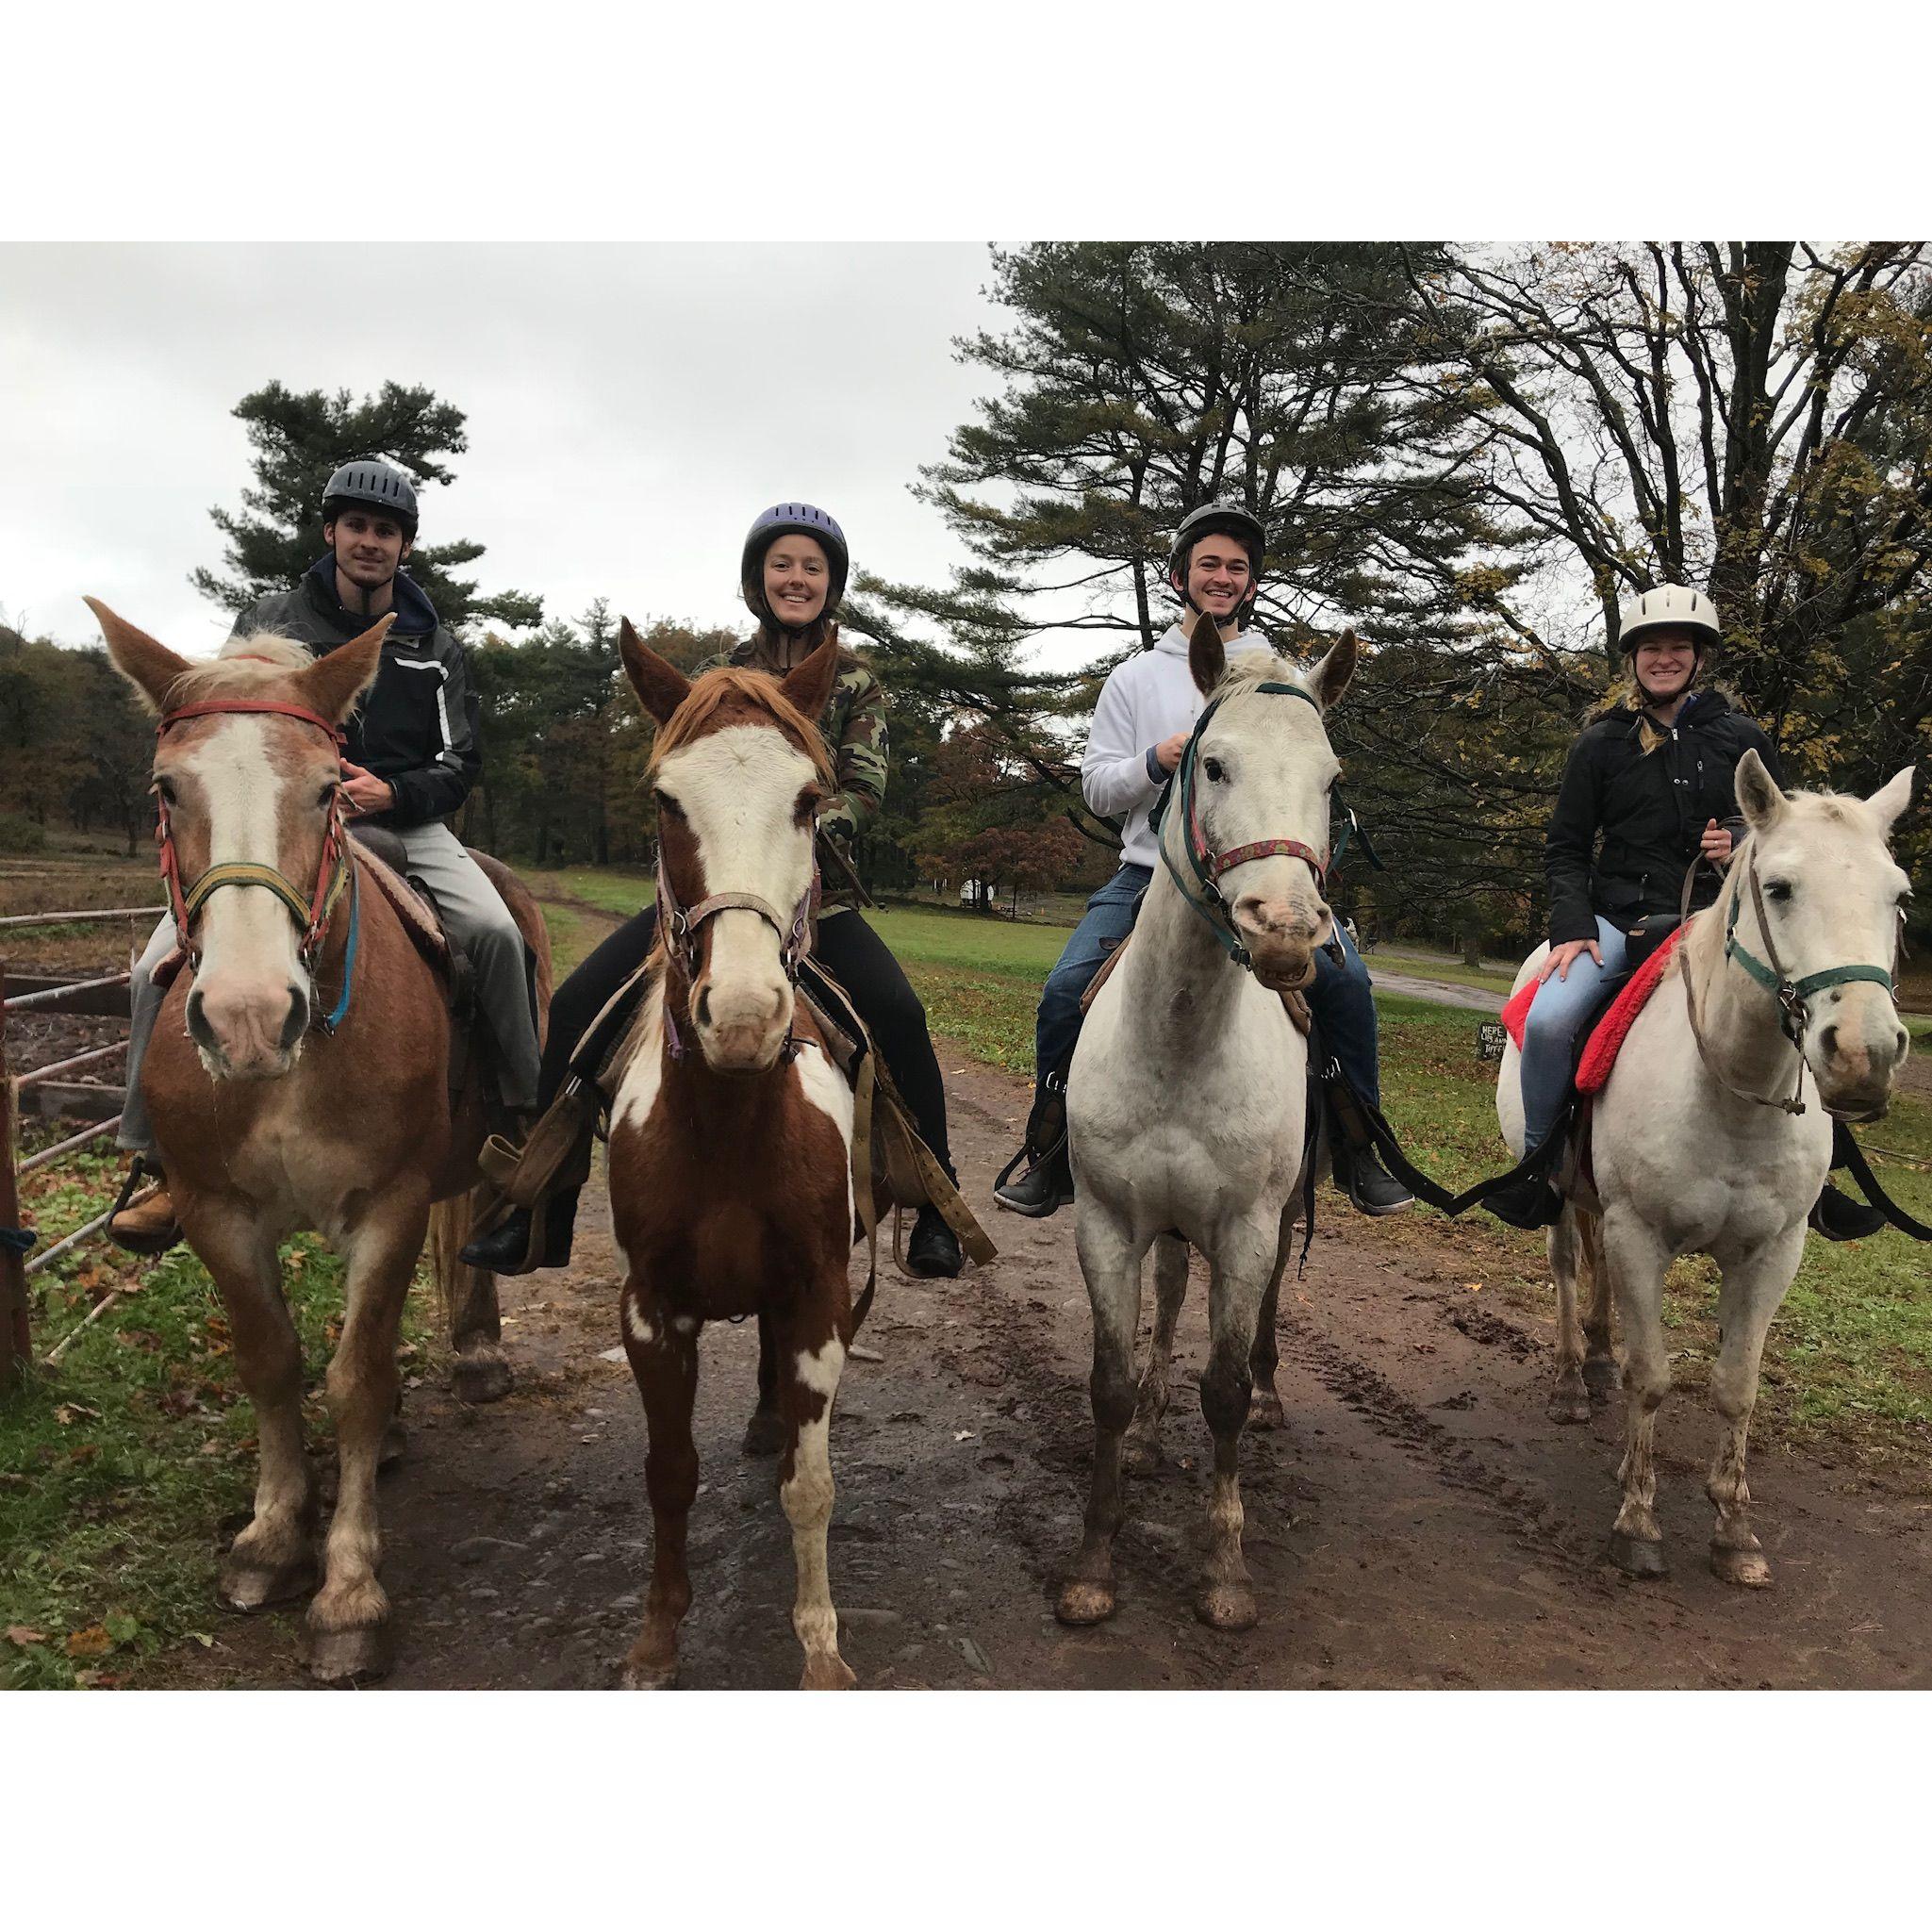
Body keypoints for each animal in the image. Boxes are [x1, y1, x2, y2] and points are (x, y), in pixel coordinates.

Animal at [91, 603, 553, 1676]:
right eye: (166, 789)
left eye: (328, 787)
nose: (250, 1016)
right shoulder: (218, 1212)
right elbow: (273, 1362)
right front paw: (270, 1540)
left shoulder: (387, 1207)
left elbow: (356, 1377)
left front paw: (348, 1591)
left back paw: (475, 1357)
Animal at [1050, 606, 1352, 1630]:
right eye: (1212, 765)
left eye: (1332, 780)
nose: (1286, 932)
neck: (1180, 1037)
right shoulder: (1107, 1222)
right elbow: (1107, 1384)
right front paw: (1093, 1562)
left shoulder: (1249, 1224)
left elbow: (1217, 1390)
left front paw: (1224, 1568)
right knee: (1175, 1290)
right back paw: (1151, 1427)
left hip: (1281, 1210)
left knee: (1253, 1313)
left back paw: (1266, 1393)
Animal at [1499, 753, 1908, 1584]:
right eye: (1779, 887)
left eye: (1898, 896)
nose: (1863, 1054)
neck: (1729, 1093)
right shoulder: (1639, 1235)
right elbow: (1651, 1376)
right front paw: (1638, 1520)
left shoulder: (1772, 1252)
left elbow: (1734, 1386)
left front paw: (1734, 1528)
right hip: (1560, 1201)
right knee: (1566, 1269)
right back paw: (1571, 1378)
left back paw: (1595, 1359)